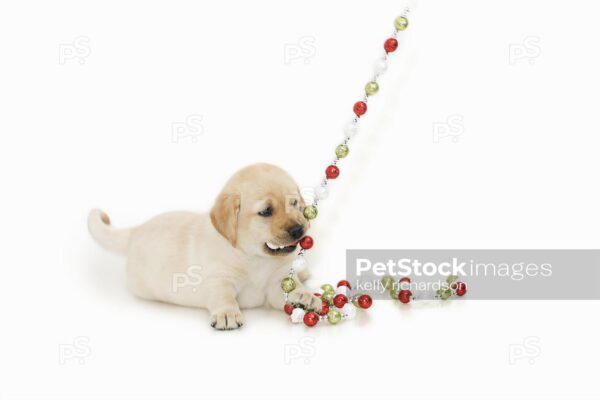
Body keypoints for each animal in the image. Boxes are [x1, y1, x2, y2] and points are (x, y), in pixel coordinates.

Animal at [86, 162, 322, 328]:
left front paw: (305, 296)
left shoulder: (277, 283)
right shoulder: (218, 280)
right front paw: (227, 313)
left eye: (294, 204)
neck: (254, 257)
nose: (299, 230)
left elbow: (292, 288)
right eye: (266, 211)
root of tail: (136, 230)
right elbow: (222, 295)